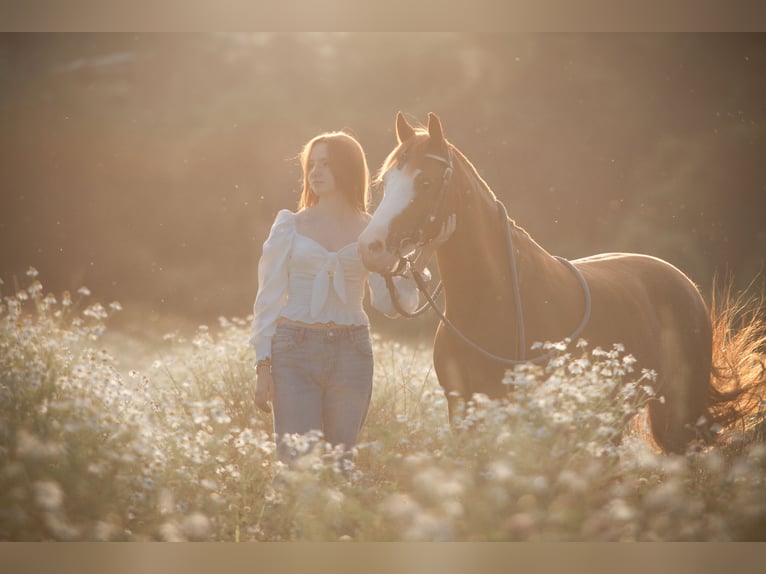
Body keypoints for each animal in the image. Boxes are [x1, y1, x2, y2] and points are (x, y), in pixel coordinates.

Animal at [360, 111, 766, 454]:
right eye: (385, 181)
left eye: (425, 181)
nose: (371, 248)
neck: (496, 302)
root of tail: (684, 283)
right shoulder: (463, 414)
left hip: (678, 419)